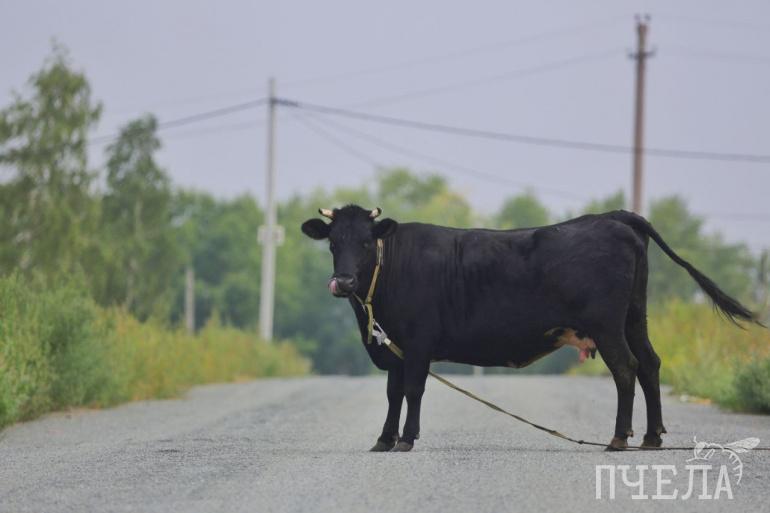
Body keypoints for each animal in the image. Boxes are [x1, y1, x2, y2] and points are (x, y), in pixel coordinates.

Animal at [301, 205, 761, 452]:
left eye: (365, 242)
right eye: (332, 242)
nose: (343, 282)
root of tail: (612, 218)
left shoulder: (416, 343)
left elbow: (413, 391)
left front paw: (406, 439)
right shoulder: (392, 346)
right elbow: (393, 393)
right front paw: (383, 438)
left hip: (608, 325)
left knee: (626, 369)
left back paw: (618, 438)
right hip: (634, 318)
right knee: (649, 364)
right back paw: (650, 437)